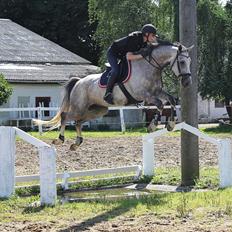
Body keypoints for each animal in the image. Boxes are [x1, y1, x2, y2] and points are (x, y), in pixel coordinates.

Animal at [34, 42, 192, 150]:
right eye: (182, 62)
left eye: (189, 61)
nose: (187, 82)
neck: (149, 66)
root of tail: (79, 82)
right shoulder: (144, 95)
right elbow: (159, 105)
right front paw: (153, 125)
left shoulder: (156, 92)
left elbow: (170, 100)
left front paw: (171, 124)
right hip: (79, 107)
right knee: (65, 116)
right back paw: (60, 139)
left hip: (97, 110)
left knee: (78, 122)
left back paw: (77, 143)